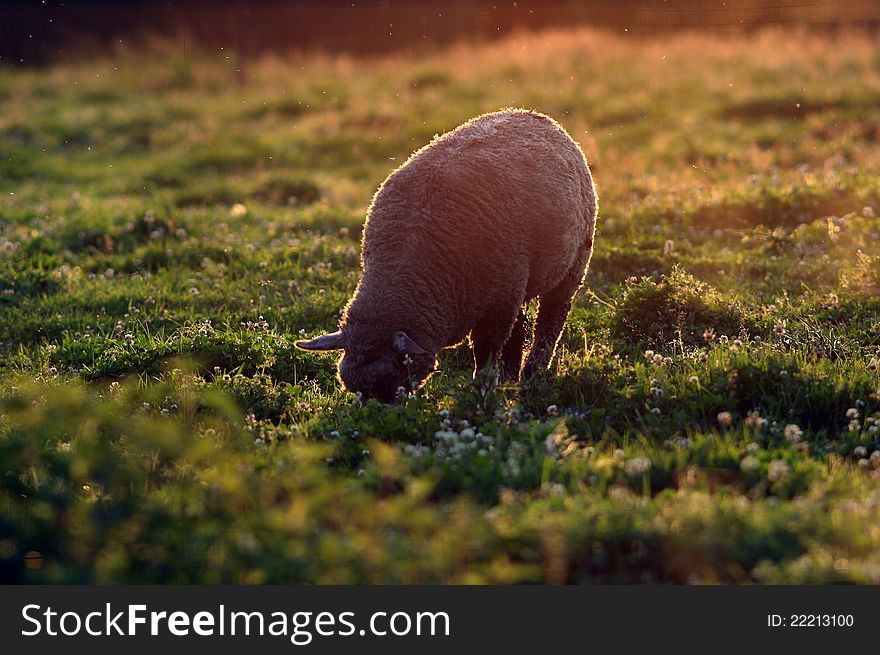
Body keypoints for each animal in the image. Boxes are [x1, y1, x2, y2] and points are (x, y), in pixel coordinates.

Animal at [298, 106, 600, 404]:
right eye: (352, 388)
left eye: (393, 377)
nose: (375, 414)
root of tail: (528, 113)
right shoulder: (506, 291)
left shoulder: (500, 301)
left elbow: (487, 349)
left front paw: (483, 388)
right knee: (521, 329)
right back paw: (512, 378)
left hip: (573, 265)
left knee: (550, 322)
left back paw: (533, 373)